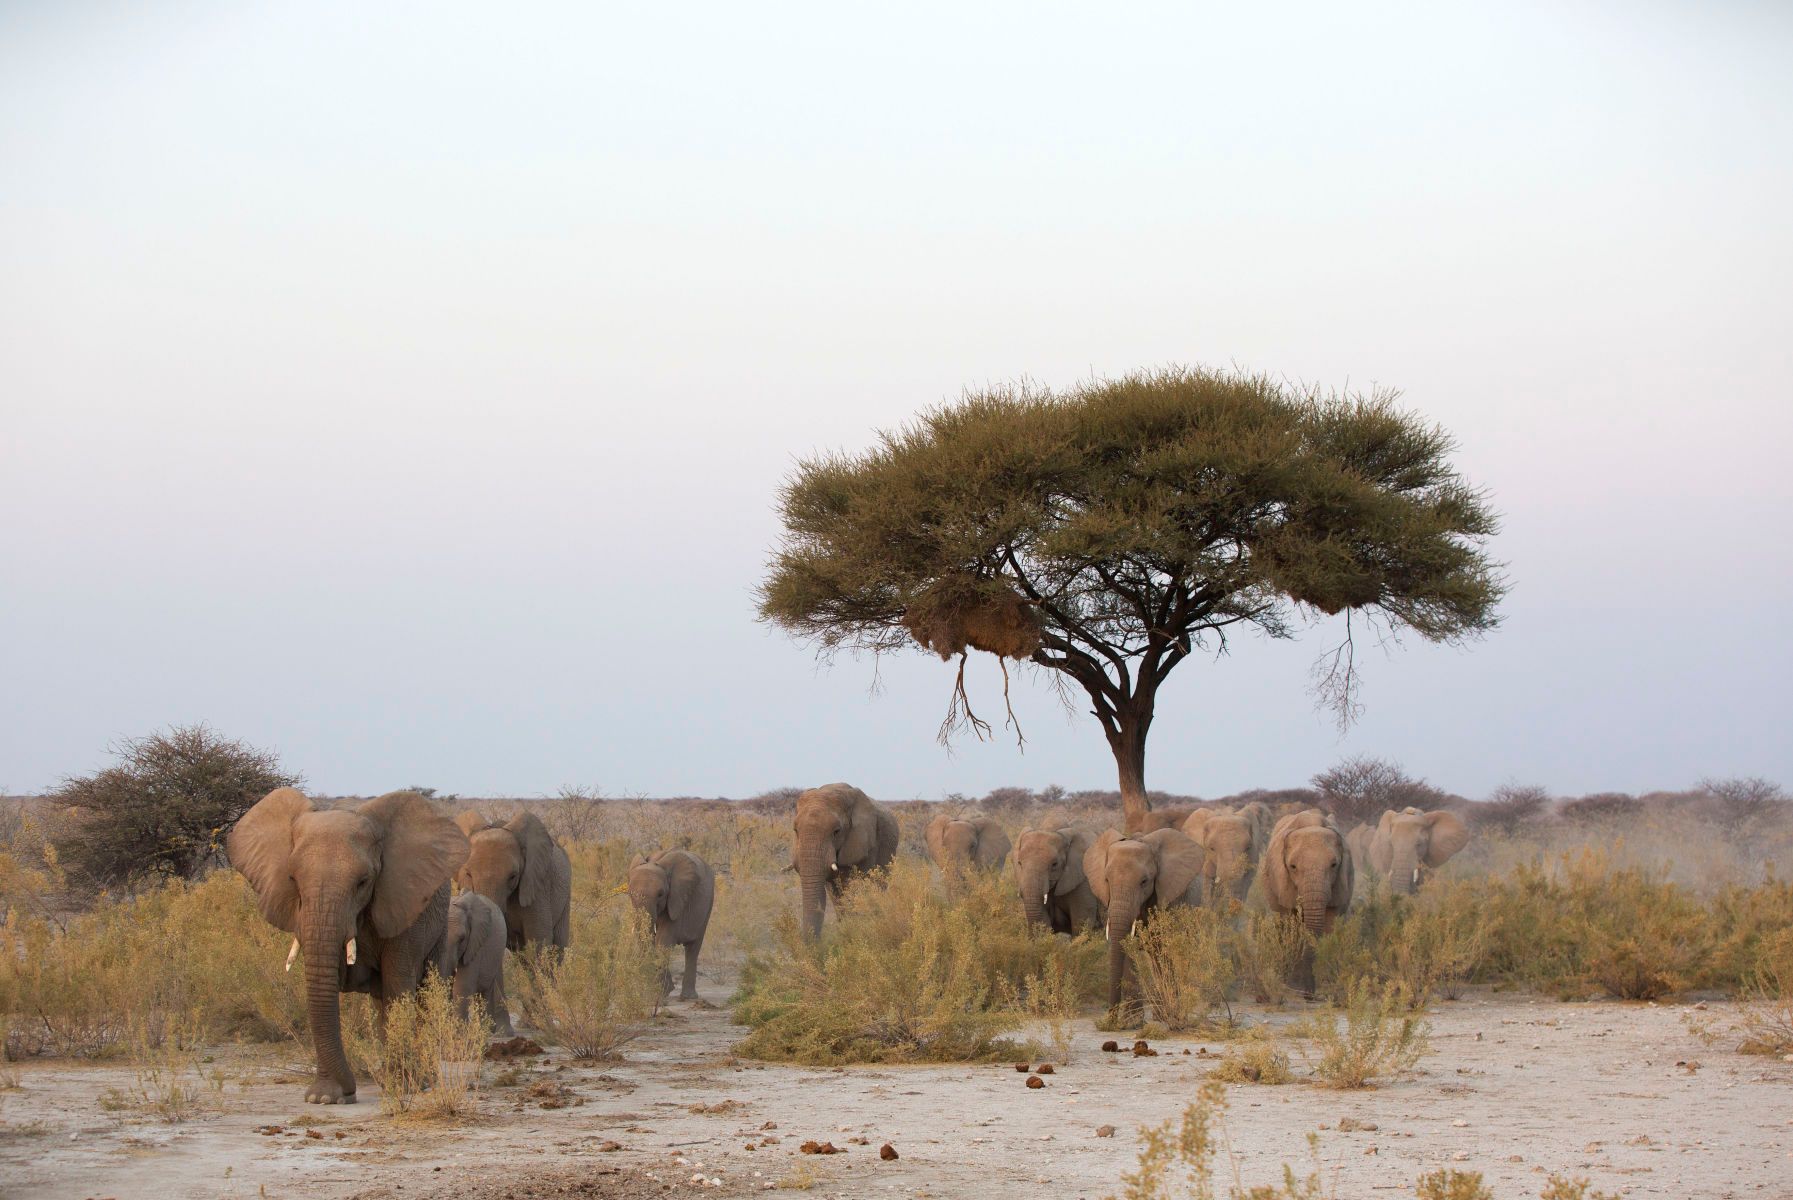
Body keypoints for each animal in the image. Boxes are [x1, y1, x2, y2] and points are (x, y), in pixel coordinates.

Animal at [228, 788, 469, 1104]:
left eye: (363, 882)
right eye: (292, 879)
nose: (349, 1091)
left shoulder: (403, 904)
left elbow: (399, 985)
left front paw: (402, 1086)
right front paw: (324, 1098)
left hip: (439, 925)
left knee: (426, 991)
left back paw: (422, 1079)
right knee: (381, 1000)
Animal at [445, 890, 513, 1037]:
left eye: (462, 938)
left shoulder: (476, 942)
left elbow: (463, 985)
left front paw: (459, 1033)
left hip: (496, 954)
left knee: (486, 990)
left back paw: (488, 1030)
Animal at [626, 849, 715, 1001]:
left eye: (660, 894)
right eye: (630, 894)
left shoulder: (677, 899)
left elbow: (663, 941)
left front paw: (659, 996)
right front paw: (659, 993)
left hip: (708, 904)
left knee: (693, 948)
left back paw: (688, 997)